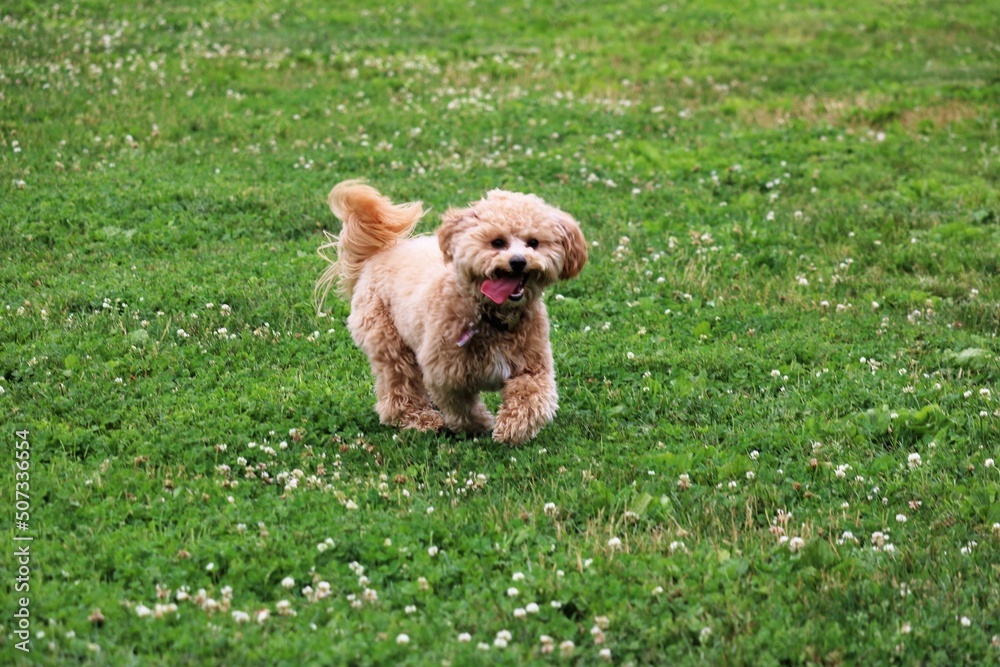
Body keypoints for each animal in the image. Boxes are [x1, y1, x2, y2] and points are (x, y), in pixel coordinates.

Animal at [314, 180, 584, 446]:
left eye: (534, 243)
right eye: (497, 242)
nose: (518, 261)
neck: (490, 315)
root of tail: (380, 252)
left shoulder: (533, 365)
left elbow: (532, 395)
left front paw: (513, 429)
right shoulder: (446, 375)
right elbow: (462, 406)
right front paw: (479, 425)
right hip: (388, 341)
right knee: (399, 386)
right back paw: (419, 419)